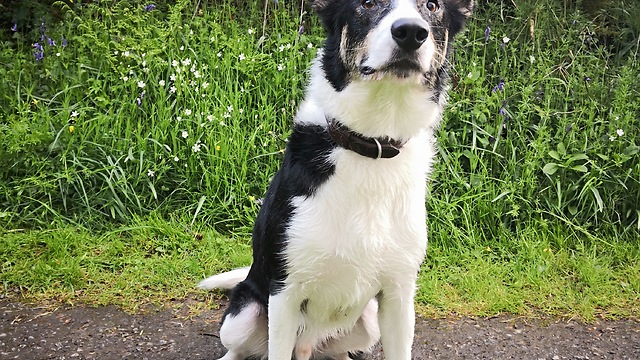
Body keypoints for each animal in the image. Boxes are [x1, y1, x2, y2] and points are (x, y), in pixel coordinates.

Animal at [200, 1, 476, 358]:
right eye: (367, 4)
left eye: (433, 6)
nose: (411, 33)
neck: (371, 146)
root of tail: (307, 344)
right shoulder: (285, 292)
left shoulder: (399, 297)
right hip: (243, 316)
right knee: (239, 348)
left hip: (368, 322)